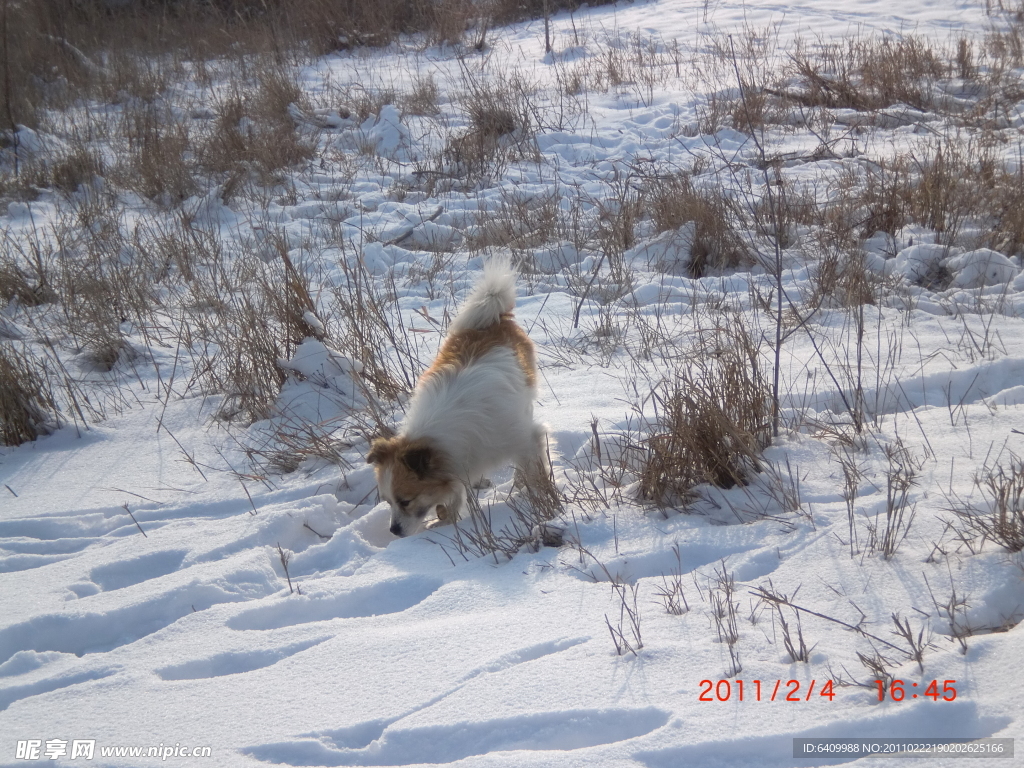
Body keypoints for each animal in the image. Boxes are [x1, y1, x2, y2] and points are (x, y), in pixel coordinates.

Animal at [364, 257, 548, 536]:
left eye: (405, 501)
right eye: (388, 502)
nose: (394, 531)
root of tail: (492, 318)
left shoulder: (524, 437)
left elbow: (536, 469)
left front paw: (543, 499)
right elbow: (454, 495)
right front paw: (447, 519)